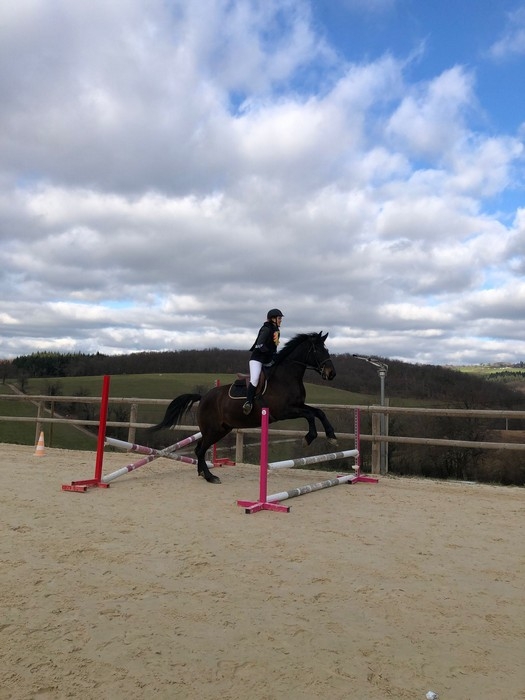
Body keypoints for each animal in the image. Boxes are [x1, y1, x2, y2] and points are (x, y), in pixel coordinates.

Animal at [149, 330, 338, 484]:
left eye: (327, 349)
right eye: (318, 350)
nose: (331, 374)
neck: (286, 377)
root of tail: (204, 397)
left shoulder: (298, 405)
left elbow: (318, 412)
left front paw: (331, 436)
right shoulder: (285, 411)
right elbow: (310, 415)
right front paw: (309, 438)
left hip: (221, 430)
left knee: (199, 449)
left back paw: (202, 473)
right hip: (213, 430)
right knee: (200, 450)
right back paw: (210, 477)